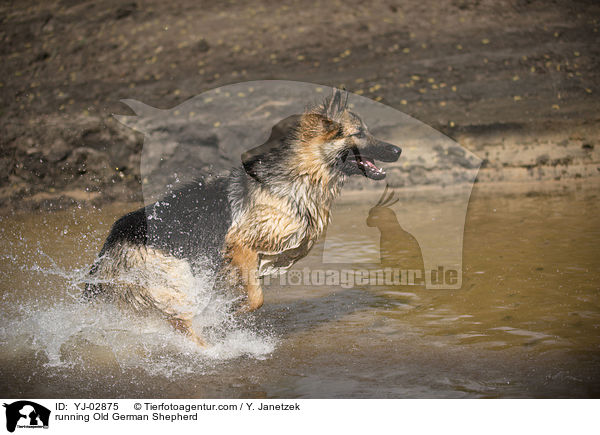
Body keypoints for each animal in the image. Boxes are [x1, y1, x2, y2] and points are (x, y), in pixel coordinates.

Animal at [84, 90, 400, 346]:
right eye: (359, 133)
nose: (398, 150)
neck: (302, 175)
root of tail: (108, 247)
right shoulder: (240, 246)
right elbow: (256, 298)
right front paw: (232, 313)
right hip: (175, 279)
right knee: (181, 323)